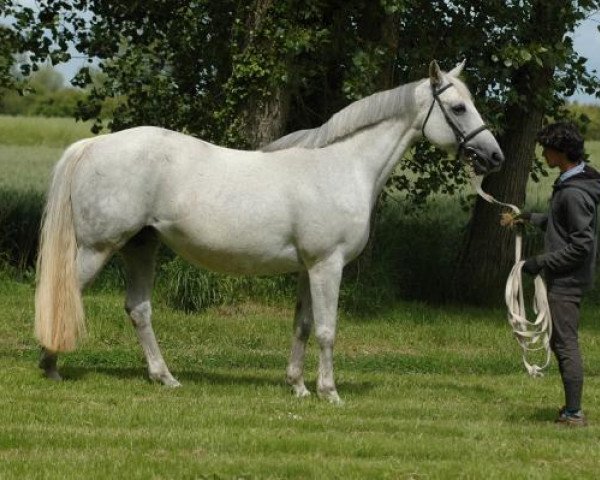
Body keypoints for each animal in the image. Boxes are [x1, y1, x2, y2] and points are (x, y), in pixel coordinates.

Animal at [36, 62, 506, 404]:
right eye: (459, 108)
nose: (494, 156)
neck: (343, 166)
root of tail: (94, 145)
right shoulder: (327, 265)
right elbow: (327, 329)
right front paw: (329, 392)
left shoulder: (307, 268)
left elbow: (302, 325)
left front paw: (297, 386)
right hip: (98, 248)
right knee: (66, 295)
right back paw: (50, 365)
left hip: (141, 246)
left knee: (139, 310)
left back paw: (164, 377)